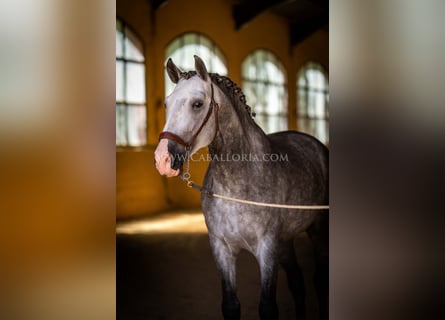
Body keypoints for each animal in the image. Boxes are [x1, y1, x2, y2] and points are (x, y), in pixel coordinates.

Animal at [154, 56, 328, 318]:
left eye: (197, 104)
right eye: (166, 104)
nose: (163, 159)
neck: (237, 185)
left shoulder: (267, 250)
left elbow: (267, 307)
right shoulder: (222, 249)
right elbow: (231, 305)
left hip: (317, 231)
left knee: (318, 280)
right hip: (286, 242)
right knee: (297, 282)